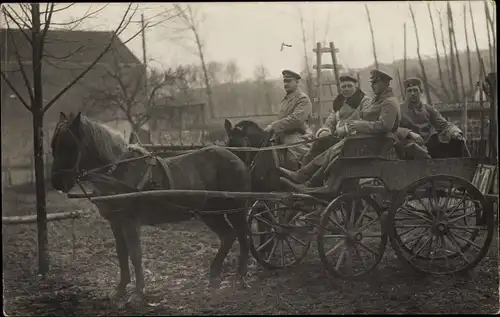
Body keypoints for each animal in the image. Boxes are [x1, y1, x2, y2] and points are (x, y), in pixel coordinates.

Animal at [51, 112, 250, 302]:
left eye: (69, 146)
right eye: (53, 146)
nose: (56, 182)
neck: (117, 172)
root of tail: (235, 157)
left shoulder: (130, 222)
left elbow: (135, 254)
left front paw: (138, 292)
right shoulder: (115, 223)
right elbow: (121, 253)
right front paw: (120, 289)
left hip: (236, 209)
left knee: (242, 236)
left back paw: (240, 276)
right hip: (210, 213)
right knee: (227, 236)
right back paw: (214, 274)